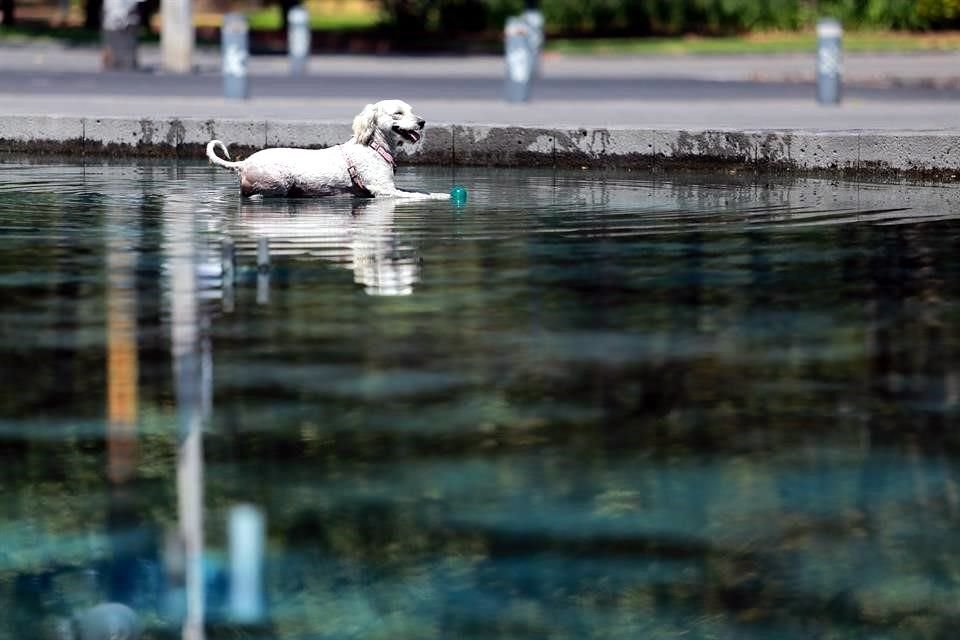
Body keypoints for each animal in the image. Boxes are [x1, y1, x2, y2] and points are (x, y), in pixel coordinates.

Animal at [205, 99, 450, 200]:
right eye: (398, 113)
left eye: (411, 110)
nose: (422, 122)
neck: (374, 146)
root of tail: (244, 163)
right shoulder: (384, 192)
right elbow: (418, 197)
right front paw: (442, 196)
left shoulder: (391, 188)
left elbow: (417, 191)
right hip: (278, 182)